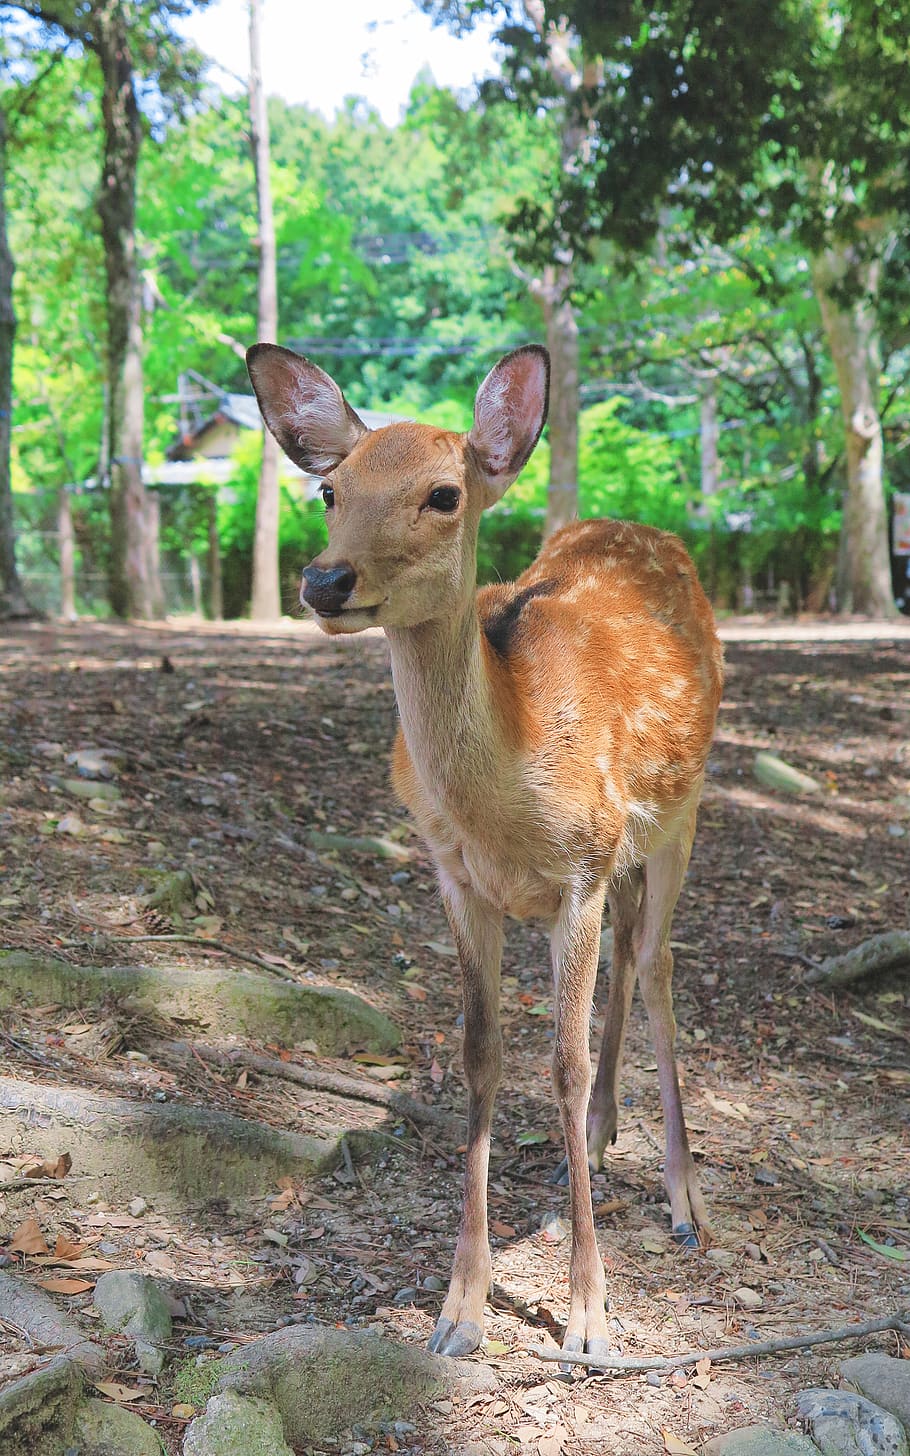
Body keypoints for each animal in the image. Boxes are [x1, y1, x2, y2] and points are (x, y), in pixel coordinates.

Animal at [246, 341, 724, 1368]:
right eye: (329, 491)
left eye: (442, 494)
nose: (324, 582)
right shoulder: (456, 876)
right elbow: (480, 1054)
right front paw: (458, 1308)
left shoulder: (582, 869)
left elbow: (562, 1061)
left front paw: (589, 1316)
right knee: (630, 956)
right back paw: (604, 1134)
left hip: (681, 814)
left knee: (658, 964)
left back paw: (682, 1199)